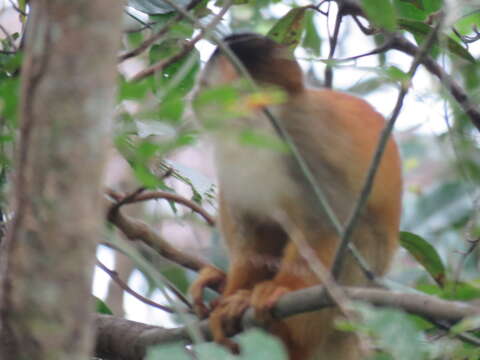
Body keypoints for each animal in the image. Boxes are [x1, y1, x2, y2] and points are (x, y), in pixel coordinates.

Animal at [189, 33, 404, 360]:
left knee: (358, 231)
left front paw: (281, 290)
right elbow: (254, 232)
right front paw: (233, 298)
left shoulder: (303, 142)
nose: (194, 96)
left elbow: (326, 224)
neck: (258, 126)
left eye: (204, 83)